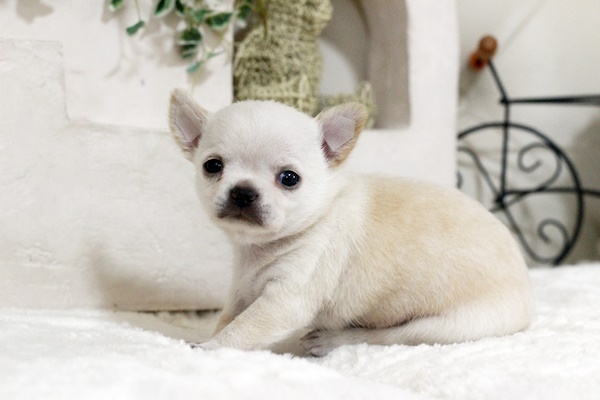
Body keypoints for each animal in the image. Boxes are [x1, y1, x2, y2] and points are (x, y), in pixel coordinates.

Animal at [168, 90, 534, 357]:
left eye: (289, 179)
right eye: (212, 166)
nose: (243, 192)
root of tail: (525, 285)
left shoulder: (286, 299)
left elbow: (241, 329)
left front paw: (208, 347)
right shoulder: (242, 291)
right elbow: (228, 318)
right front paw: (211, 336)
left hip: (445, 327)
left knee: (382, 337)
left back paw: (329, 340)